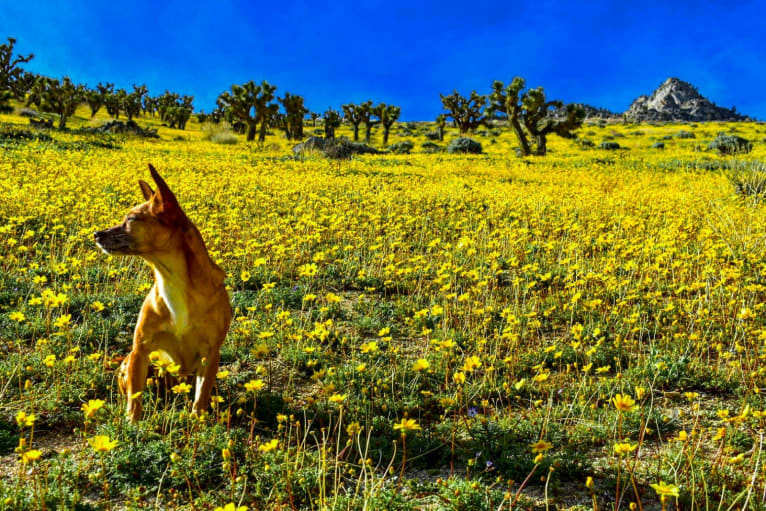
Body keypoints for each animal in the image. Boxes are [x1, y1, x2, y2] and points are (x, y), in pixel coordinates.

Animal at [95, 166, 231, 422]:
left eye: (131, 219)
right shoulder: (140, 350)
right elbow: (135, 399)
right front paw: (132, 424)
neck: (172, 279)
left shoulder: (210, 355)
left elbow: (201, 397)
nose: (96, 234)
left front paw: (197, 423)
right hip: (132, 365)